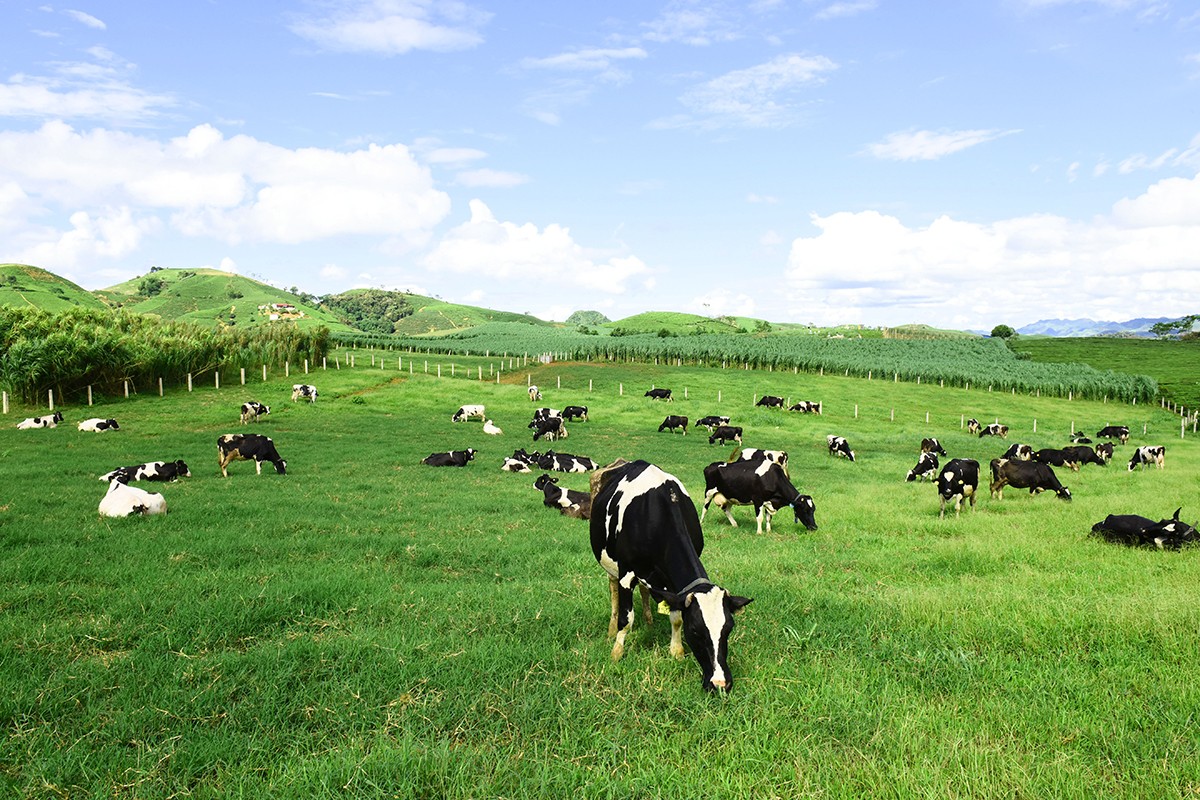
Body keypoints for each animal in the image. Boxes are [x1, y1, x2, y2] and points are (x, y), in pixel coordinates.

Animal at [590, 460, 748, 690]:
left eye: (728, 629)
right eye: (696, 630)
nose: (720, 683)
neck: (656, 516)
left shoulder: (674, 587)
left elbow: (676, 617)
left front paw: (676, 651)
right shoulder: (626, 573)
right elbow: (626, 619)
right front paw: (616, 653)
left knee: (645, 591)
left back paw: (649, 621)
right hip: (610, 564)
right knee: (613, 591)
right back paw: (612, 629)